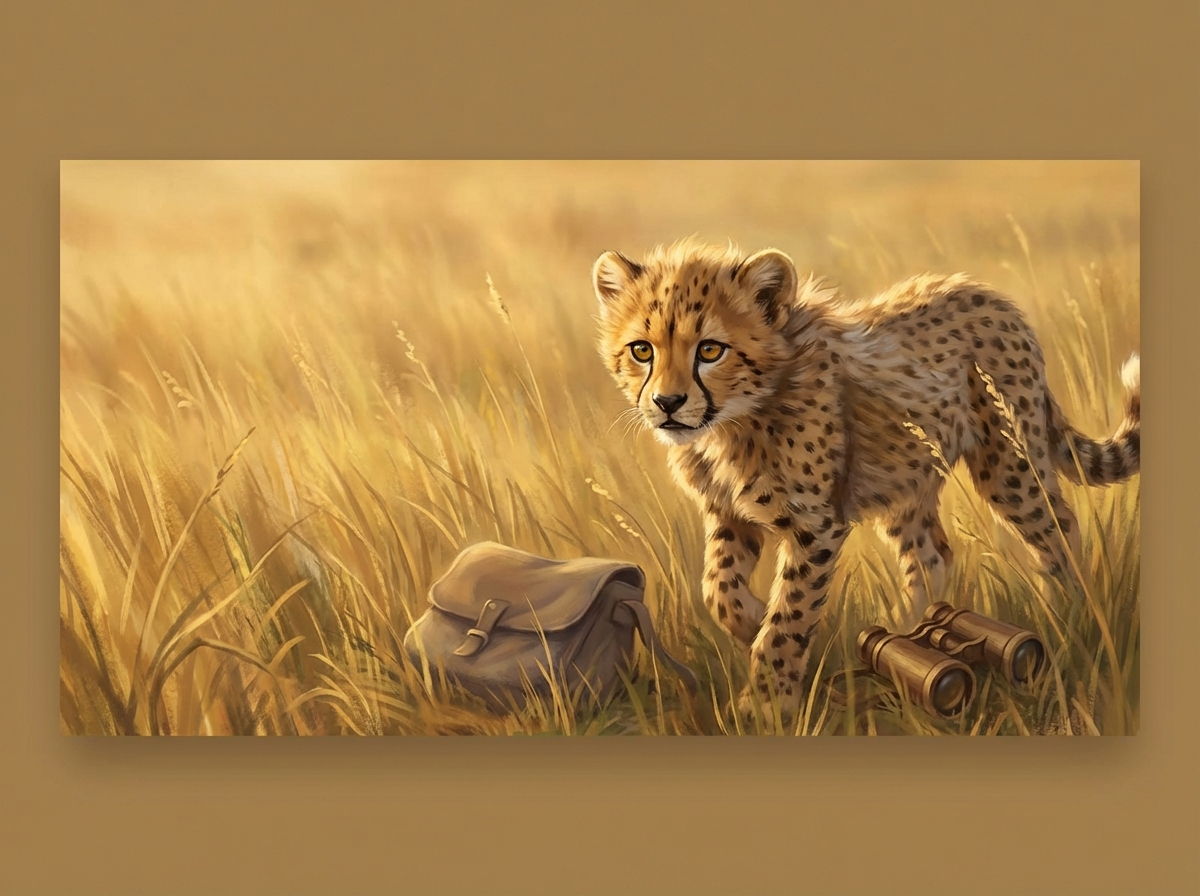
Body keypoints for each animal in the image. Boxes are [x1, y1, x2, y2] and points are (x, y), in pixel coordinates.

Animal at [591, 238, 1140, 727]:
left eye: (710, 349)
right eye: (641, 350)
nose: (667, 403)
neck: (737, 418)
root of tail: (991, 296)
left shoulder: (815, 525)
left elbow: (789, 617)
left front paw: (768, 701)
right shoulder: (729, 514)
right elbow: (718, 589)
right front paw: (750, 621)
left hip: (1009, 463)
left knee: (1058, 528)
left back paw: (1070, 617)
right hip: (905, 482)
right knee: (932, 554)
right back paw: (907, 628)